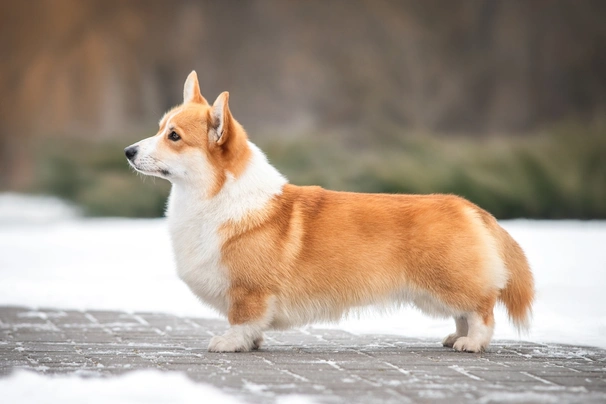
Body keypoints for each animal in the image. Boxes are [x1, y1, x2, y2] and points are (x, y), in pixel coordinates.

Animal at [124, 71, 536, 352]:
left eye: (174, 136)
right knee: (464, 313)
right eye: (159, 128)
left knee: (482, 309)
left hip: (448, 282)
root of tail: (471, 207)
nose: (127, 151)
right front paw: (251, 343)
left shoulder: (249, 290)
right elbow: (253, 327)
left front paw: (229, 342)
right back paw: (455, 337)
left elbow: (241, 319)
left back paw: (472, 343)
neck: (216, 195)